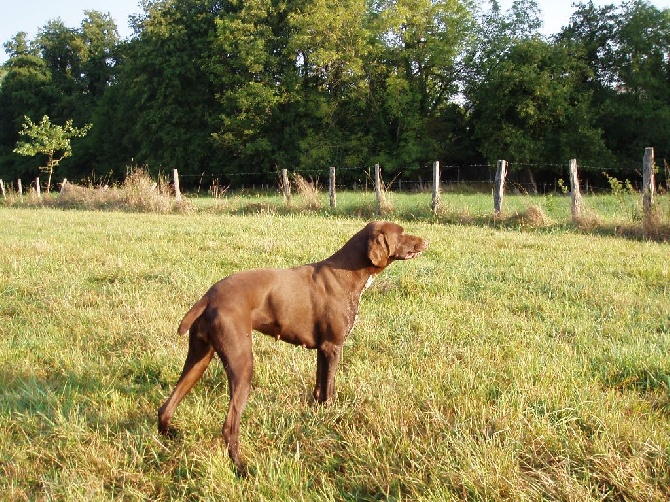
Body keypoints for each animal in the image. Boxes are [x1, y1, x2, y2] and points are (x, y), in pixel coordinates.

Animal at [160, 220, 428, 470]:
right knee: (229, 426)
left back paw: (168, 438)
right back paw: (241, 468)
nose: (426, 241)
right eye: (401, 233)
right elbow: (330, 390)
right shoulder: (333, 346)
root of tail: (209, 297)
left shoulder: (323, 349)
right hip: (241, 364)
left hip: (199, 357)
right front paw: (331, 418)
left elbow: (320, 389)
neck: (346, 274)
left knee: (166, 407)